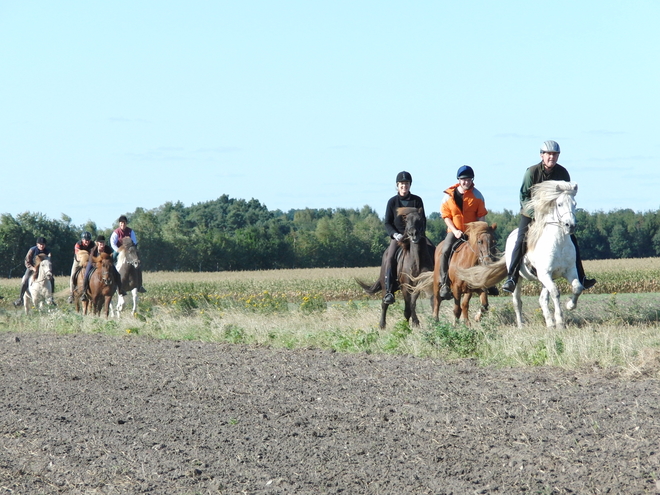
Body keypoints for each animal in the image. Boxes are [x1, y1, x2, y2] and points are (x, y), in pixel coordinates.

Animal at [458, 182, 584, 330]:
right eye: (559, 204)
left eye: (575, 204)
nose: (570, 225)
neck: (559, 242)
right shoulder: (545, 273)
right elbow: (555, 292)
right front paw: (559, 322)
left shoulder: (569, 271)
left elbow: (578, 288)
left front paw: (570, 305)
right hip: (518, 279)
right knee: (517, 301)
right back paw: (521, 325)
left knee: (542, 299)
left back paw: (549, 323)